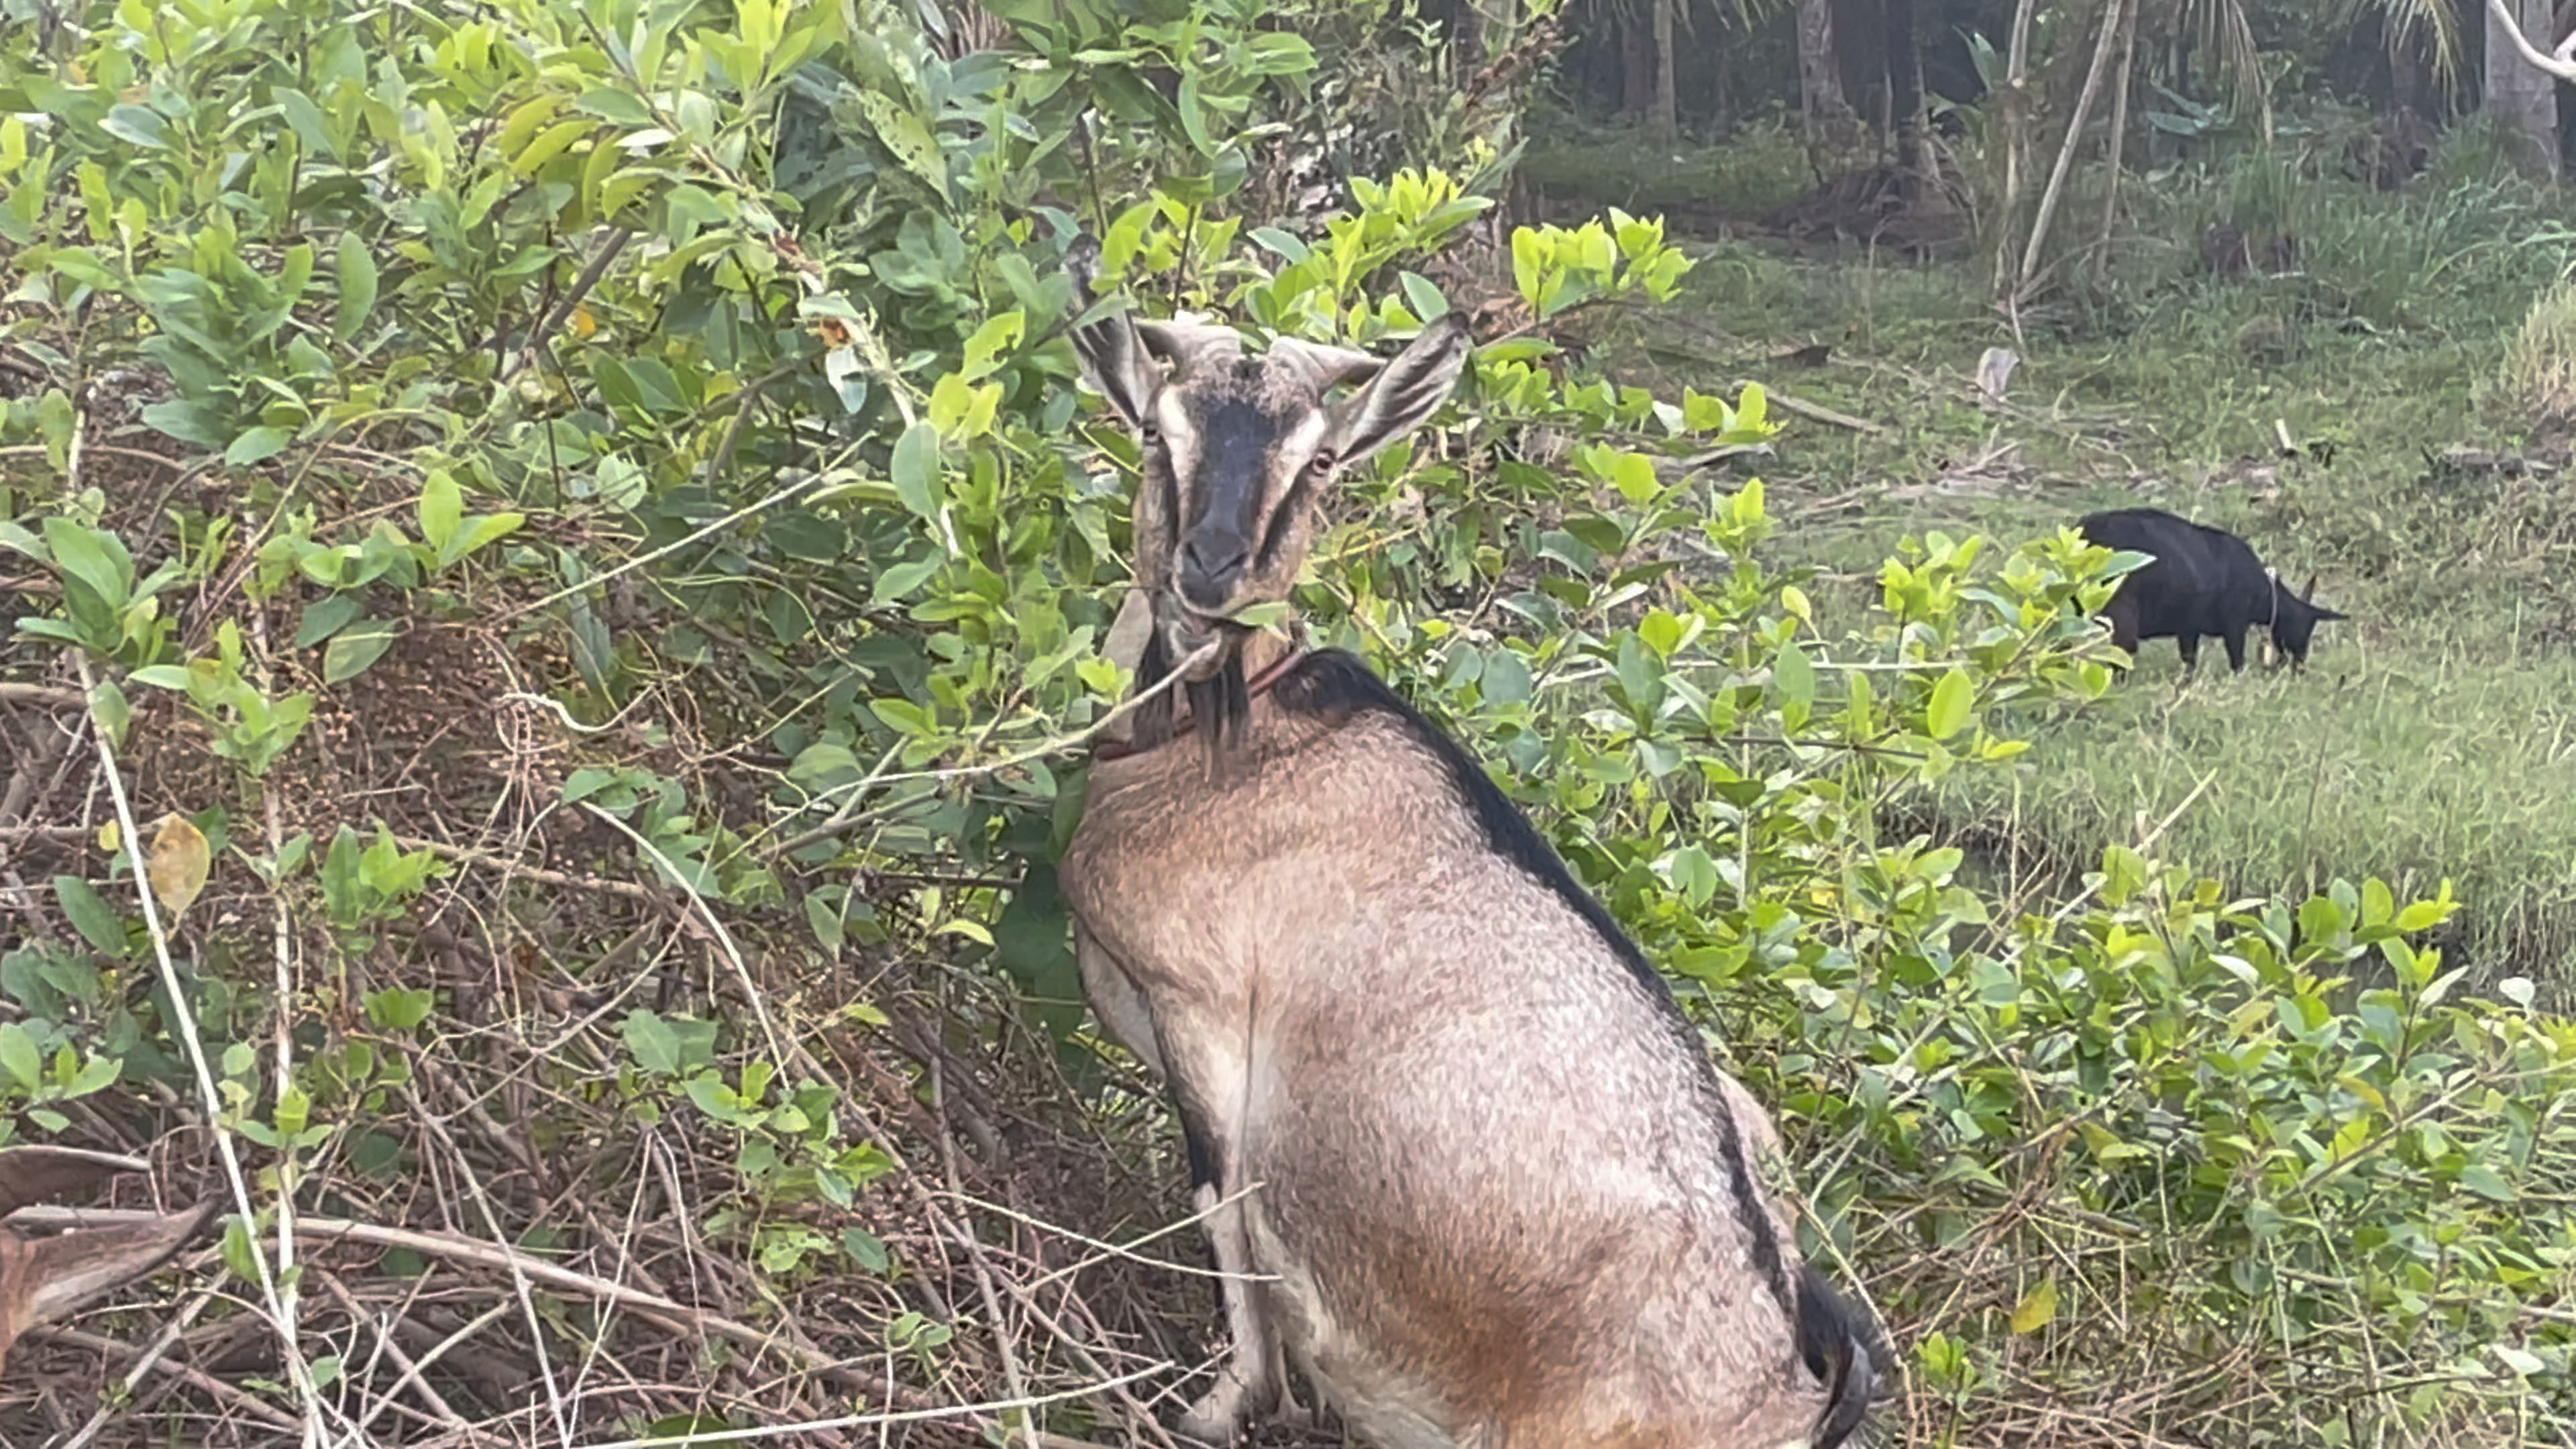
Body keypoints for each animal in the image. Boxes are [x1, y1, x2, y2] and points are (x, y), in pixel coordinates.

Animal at [1056, 242, 1885, 1433]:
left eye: (1318, 463)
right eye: (1156, 435)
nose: (1211, 567)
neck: (1234, 732)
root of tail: (1792, 1385)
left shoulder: (1203, 1013)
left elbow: (1226, 1204)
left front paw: (1218, 1406)